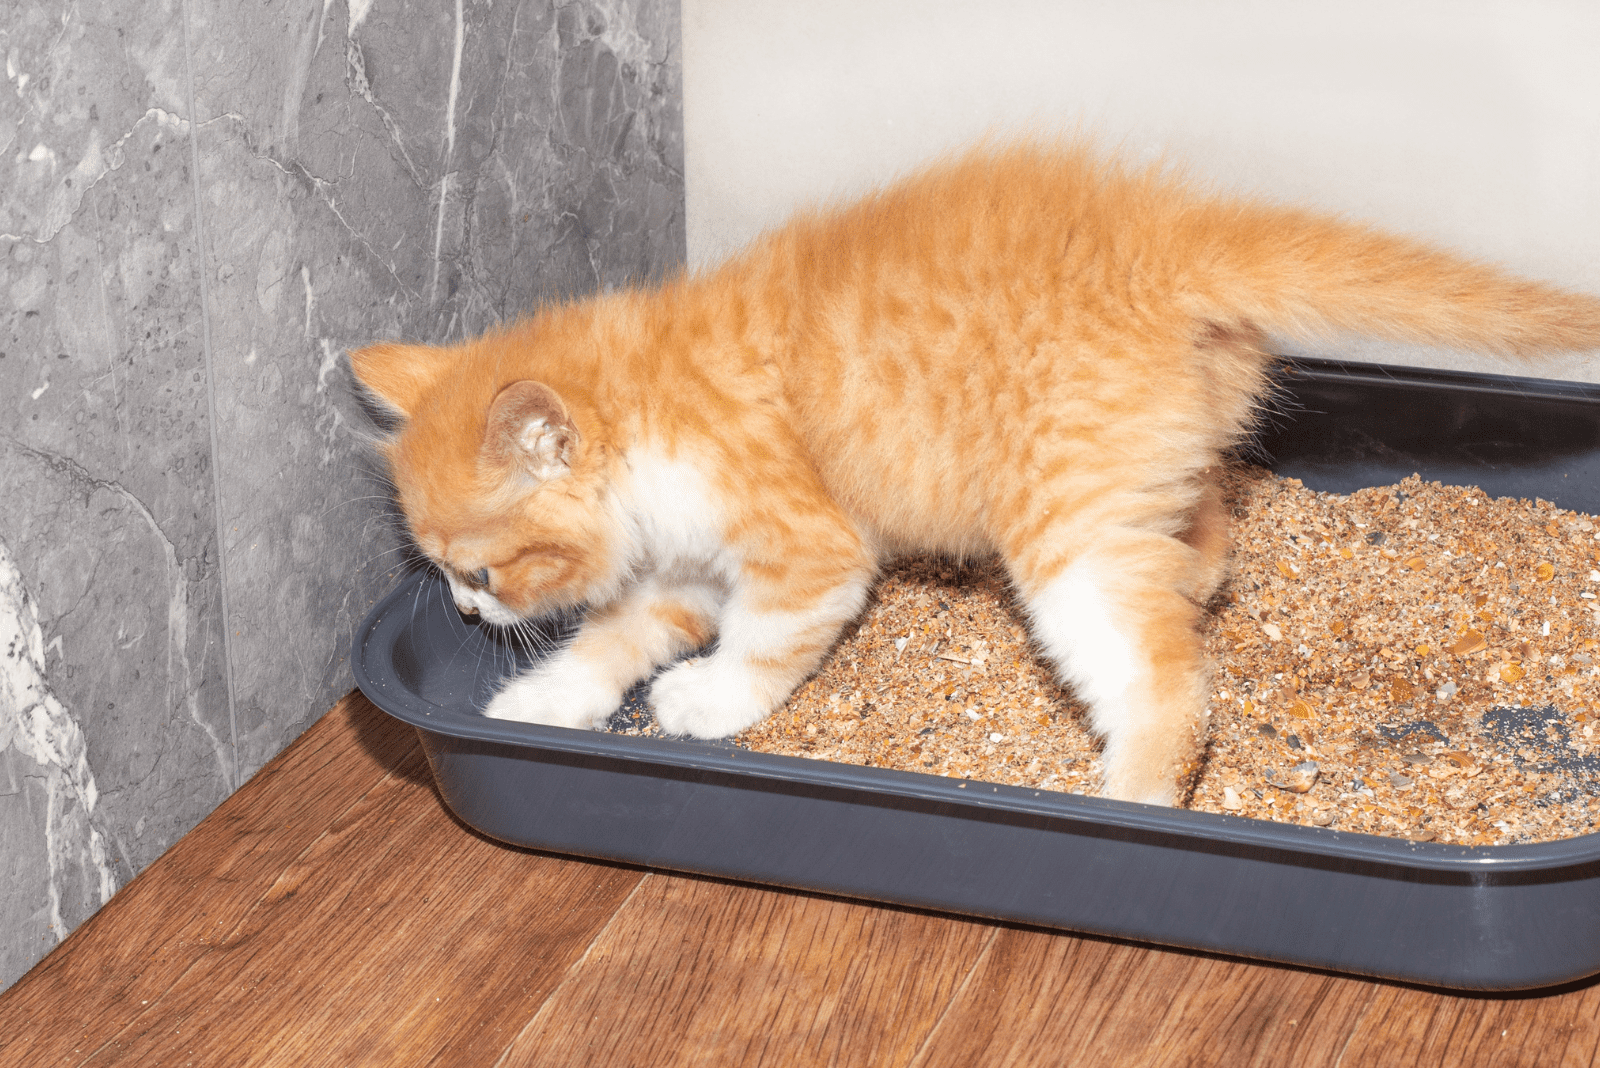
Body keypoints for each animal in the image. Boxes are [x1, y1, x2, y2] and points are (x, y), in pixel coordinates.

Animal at [350, 146, 1600, 805]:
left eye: (481, 571)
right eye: (445, 572)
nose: (465, 613)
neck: (657, 395)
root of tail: (1168, 237)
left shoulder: (804, 548)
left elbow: (762, 644)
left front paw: (705, 703)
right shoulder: (687, 561)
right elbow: (612, 635)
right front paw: (542, 698)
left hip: (1065, 528)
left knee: (1168, 681)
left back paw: (1133, 803)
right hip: (1146, 467)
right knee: (1204, 527)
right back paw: (1196, 583)